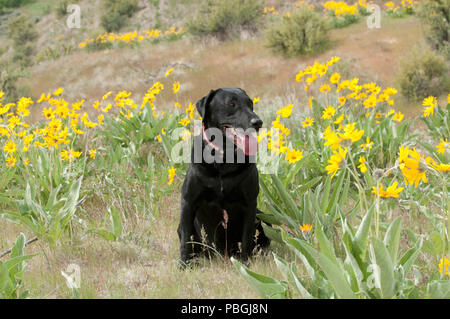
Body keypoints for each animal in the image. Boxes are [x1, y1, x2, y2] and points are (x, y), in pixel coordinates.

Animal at [178, 88, 270, 268]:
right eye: (231, 104)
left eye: (250, 104)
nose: (258, 122)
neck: (223, 158)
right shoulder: (188, 201)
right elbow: (186, 239)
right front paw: (183, 265)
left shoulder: (250, 204)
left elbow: (246, 238)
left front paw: (244, 264)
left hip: (261, 215)